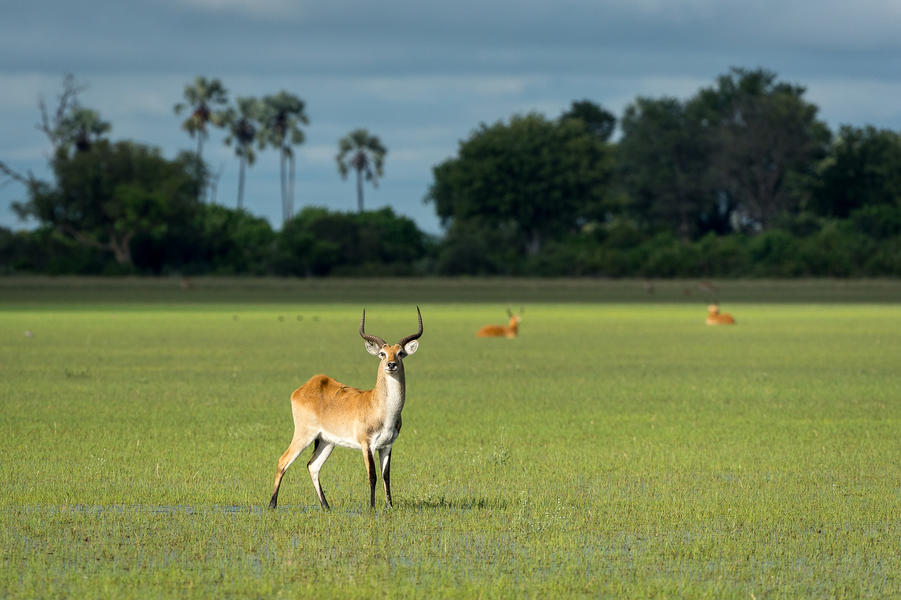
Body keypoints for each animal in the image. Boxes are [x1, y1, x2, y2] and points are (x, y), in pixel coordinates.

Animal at [268, 307, 423, 511]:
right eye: (382, 353)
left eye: (400, 353)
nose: (391, 365)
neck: (380, 407)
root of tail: (306, 386)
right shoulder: (367, 444)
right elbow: (372, 476)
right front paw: (372, 508)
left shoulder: (387, 445)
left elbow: (386, 477)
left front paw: (389, 506)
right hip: (304, 435)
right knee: (283, 461)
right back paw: (272, 505)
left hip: (326, 441)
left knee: (313, 466)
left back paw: (326, 507)